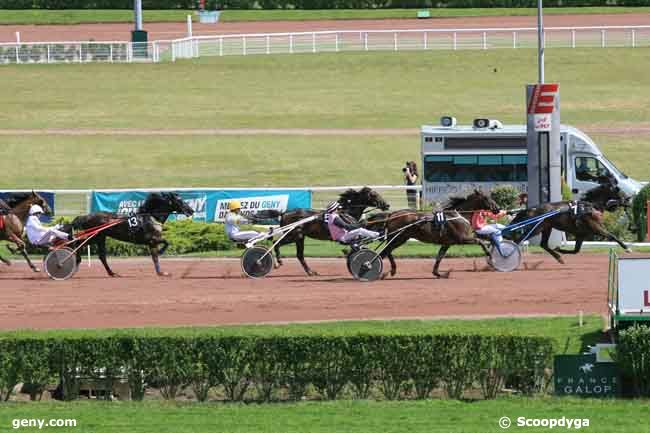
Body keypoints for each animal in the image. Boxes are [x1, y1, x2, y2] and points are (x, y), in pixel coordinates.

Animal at [253, 186, 388, 276]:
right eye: (374, 195)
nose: (387, 205)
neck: (347, 212)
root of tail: (284, 213)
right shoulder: (348, 233)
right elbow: (357, 241)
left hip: (300, 237)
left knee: (299, 255)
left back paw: (310, 271)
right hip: (293, 235)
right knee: (276, 244)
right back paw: (278, 262)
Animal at [368, 189, 498, 276]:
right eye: (486, 198)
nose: (497, 208)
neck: (459, 215)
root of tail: (392, 214)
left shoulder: (447, 243)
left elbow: (440, 256)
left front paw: (438, 273)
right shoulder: (461, 239)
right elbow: (480, 241)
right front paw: (490, 256)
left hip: (398, 238)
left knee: (387, 251)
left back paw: (390, 270)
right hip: (399, 238)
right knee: (385, 251)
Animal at [504, 177, 632, 262]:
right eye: (618, 190)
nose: (628, 199)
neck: (590, 206)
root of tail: (533, 208)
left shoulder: (581, 234)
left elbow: (576, 251)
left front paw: (560, 249)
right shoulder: (596, 227)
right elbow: (612, 236)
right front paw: (627, 248)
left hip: (546, 228)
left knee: (543, 244)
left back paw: (558, 257)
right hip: (536, 228)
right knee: (519, 240)